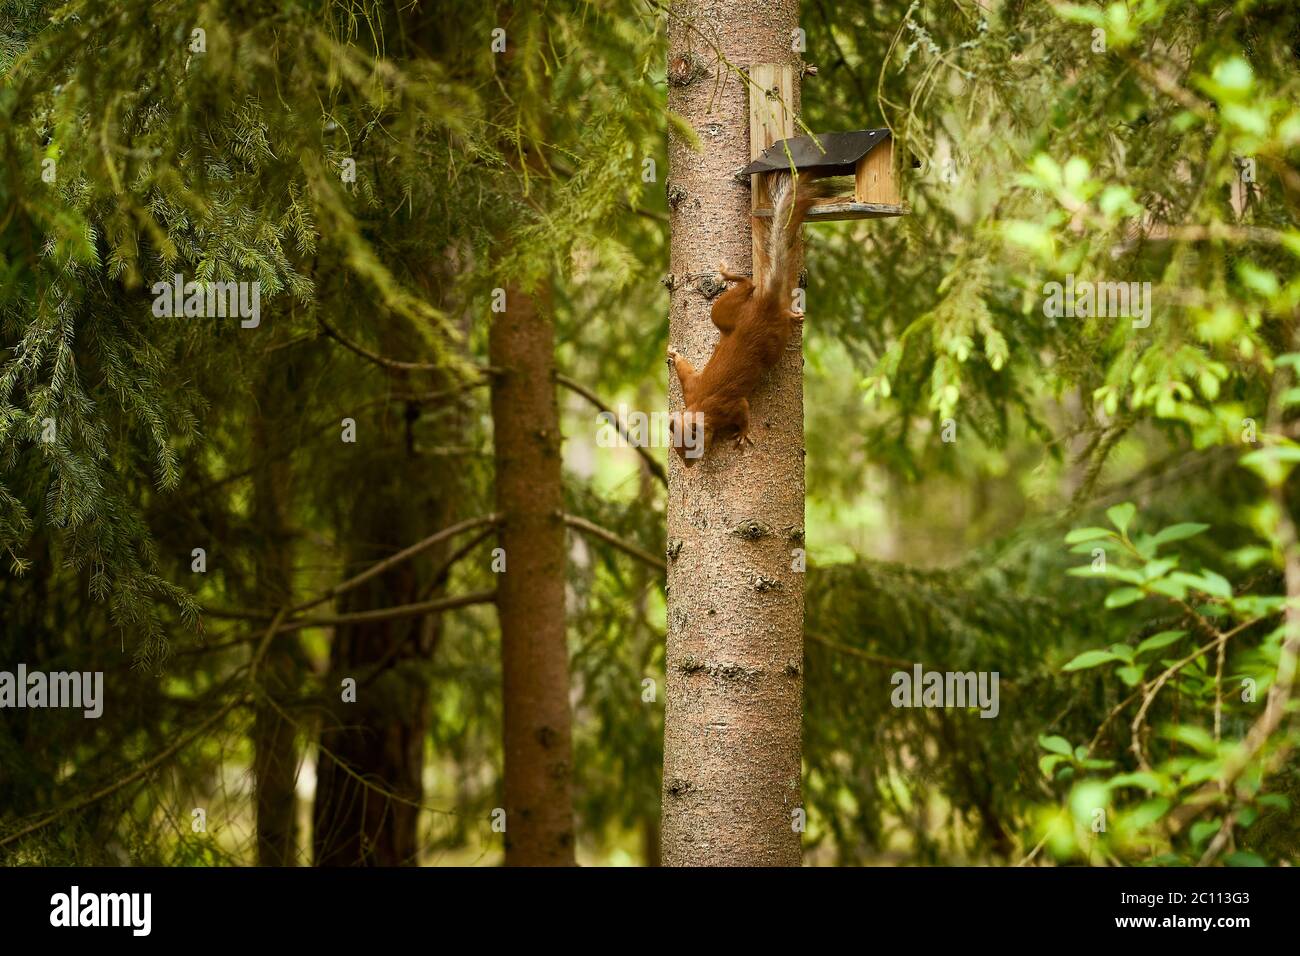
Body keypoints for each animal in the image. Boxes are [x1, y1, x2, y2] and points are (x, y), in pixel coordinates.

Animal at [668, 171, 823, 468]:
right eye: (677, 448)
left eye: (694, 445)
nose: (689, 465)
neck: (700, 406)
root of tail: (763, 307)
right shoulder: (691, 390)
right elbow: (686, 372)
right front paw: (674, 354)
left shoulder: (727, 405)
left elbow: (743, 412)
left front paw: (742, 434)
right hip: (724, 315)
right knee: (747, 288)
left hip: (772, 344)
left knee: (752, 285)